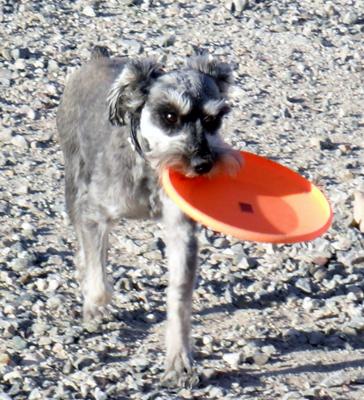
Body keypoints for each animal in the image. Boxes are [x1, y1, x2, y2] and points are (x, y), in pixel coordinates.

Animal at [57, 48, 243, 382]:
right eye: (169, 115)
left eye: (214, 119)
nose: (202, 164)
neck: (151, 167)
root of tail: (97, 59)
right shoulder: (95, 213)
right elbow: (97, 270)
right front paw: (95, 307)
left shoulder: (182, 229)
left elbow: (179, 295)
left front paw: (179, 359)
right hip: (74, 177)